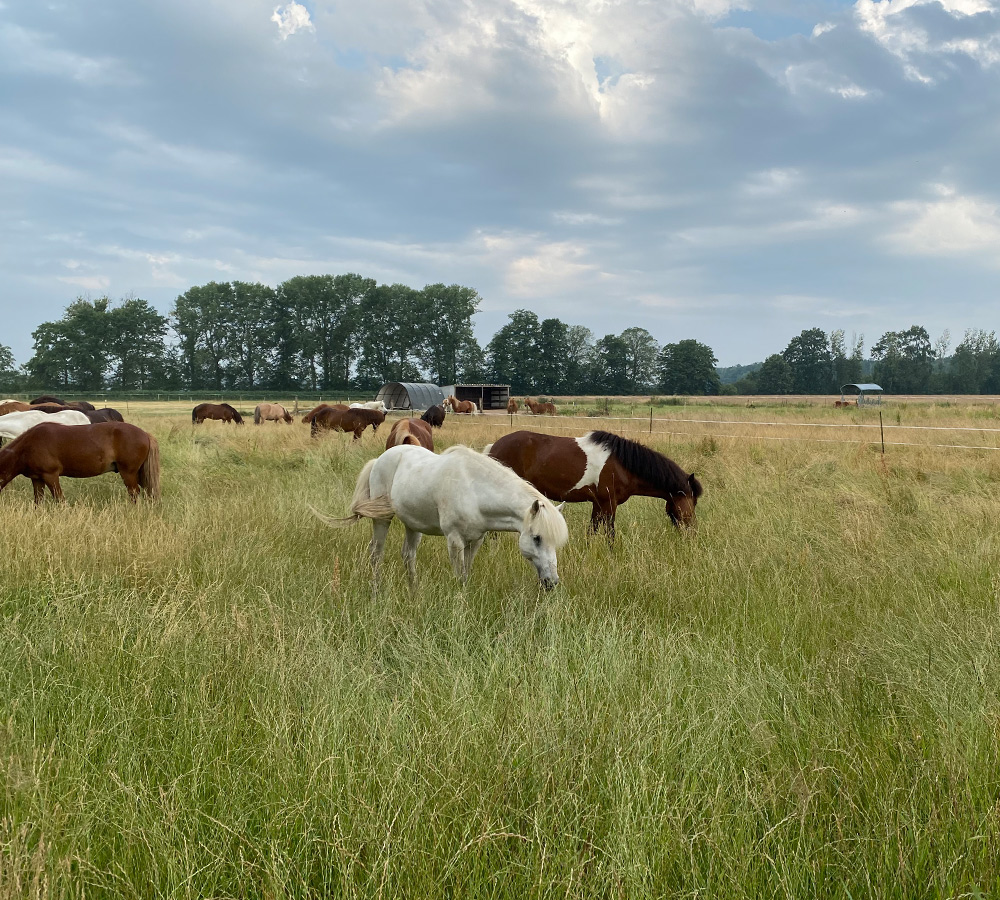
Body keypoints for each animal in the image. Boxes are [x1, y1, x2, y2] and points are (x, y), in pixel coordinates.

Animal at [0, 420, 160, 502]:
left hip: (128, 473)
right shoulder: (37, 479)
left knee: (134, 493)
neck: (28, 445)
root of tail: (145, 434)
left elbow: (59, 499)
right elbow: (38, 501)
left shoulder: (51, 476)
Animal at [320, 444, 572, 592]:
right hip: (383, 519)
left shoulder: (476, 540)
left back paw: (414, 592)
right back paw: (376, 590)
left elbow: (467, 574)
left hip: (412, 524)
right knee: (376, 552)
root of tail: (380, 459)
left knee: (408, 555)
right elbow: (459, 577)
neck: (474, 489)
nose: (552, 582)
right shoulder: (455, 540)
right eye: (537, 538)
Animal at [488, 428, 700, 536]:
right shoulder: (609, 504)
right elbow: (609, 533)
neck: (623, 465)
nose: (692, 533)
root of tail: (494, 447)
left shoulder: (598, 504)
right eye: (693, 502)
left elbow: (593, 531)